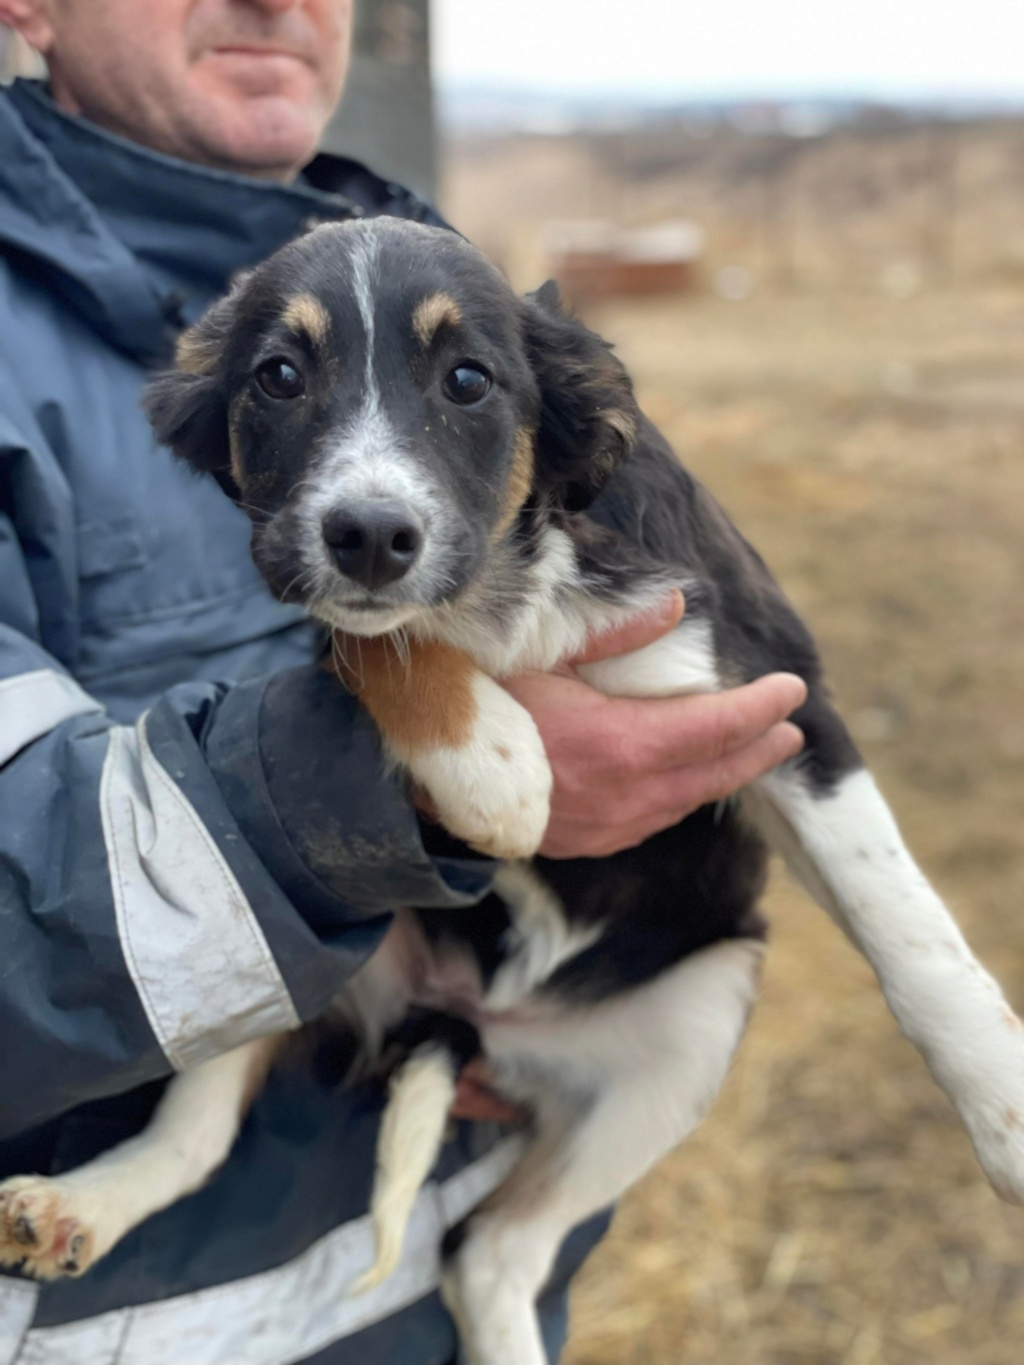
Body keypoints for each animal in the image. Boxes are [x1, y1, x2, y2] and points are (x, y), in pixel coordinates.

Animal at [4, 215, 1021, 1365]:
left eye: (467, 380)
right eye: (278, 377)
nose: (367, 533)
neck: (508, 584)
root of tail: (473, 1017)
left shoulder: (783, 698)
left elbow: (903, 919)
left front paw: (1003, 1107)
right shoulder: (331, 597)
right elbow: (381, 637)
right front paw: (496, 765)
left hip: (693, 1021)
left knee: (491, 1247)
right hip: (290, 964)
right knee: (228, 1145)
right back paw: (81, 1201)